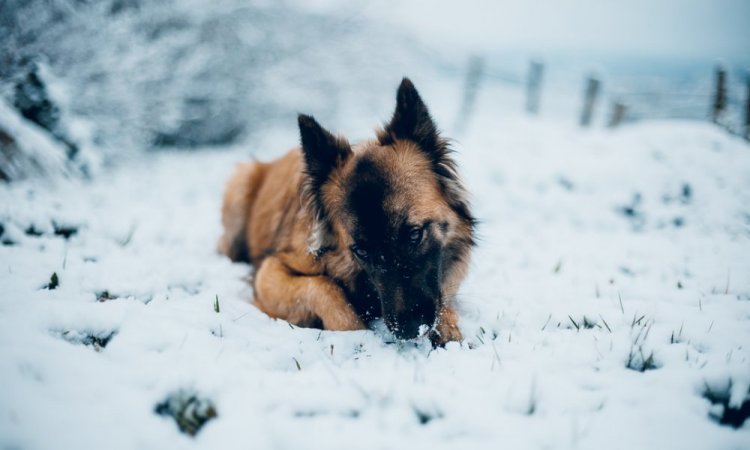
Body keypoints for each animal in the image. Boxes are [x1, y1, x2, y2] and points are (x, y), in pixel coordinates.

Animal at [219, 78, 476, 344]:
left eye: (415, 234)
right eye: (360, 251)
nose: (409, 330)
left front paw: (447, 324)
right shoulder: (271, 270)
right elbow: (323, 287)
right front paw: (355, 334)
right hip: (240, 186)